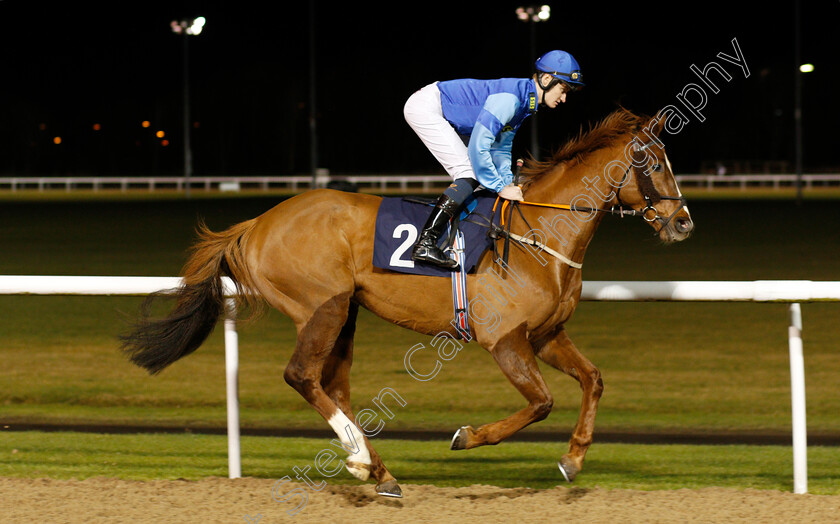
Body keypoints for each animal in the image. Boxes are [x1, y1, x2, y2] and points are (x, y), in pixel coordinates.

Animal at [120, 108, 696, 498]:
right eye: (653, 163)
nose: (684, 222)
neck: (538, 234)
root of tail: (257, 223)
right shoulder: (504, 340)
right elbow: (540, 403)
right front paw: (466, 436)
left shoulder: (546, 335)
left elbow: (593, 379)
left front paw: (574, 459)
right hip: (323, 306)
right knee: (302, 376)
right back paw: (359, 460)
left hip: (345, 313)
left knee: (333, 384)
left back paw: (378, 470)